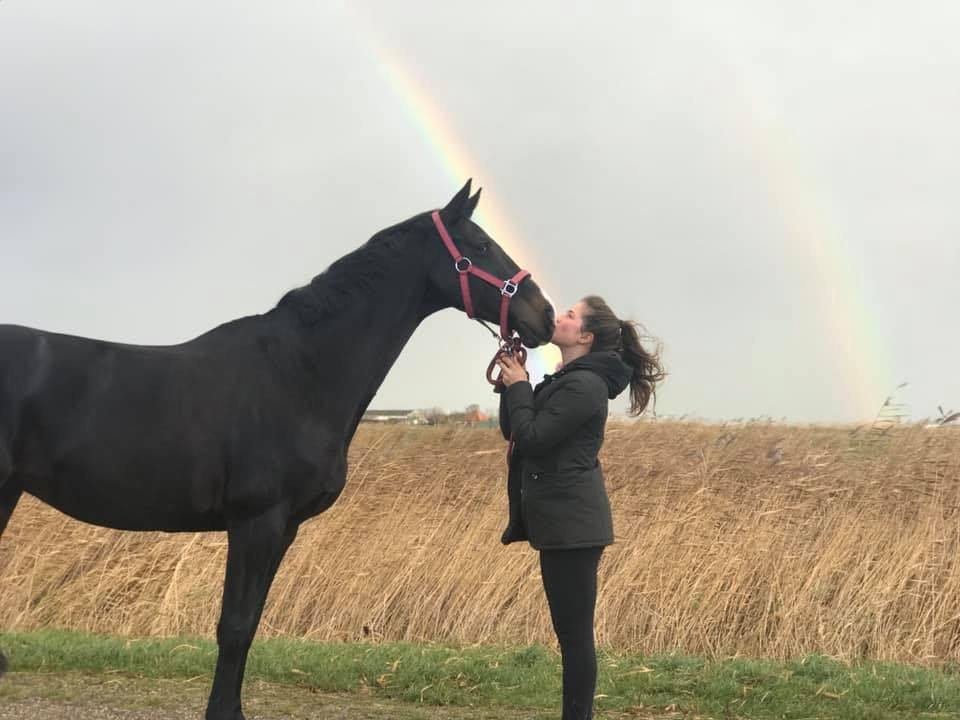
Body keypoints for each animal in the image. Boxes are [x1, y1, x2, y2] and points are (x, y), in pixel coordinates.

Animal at [0, 180, 555, 720]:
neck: (299, 372)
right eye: (479, 247)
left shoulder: (283, 527)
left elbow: (249, 625)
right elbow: (235, 623)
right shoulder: (256, 520)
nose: (545, 316)